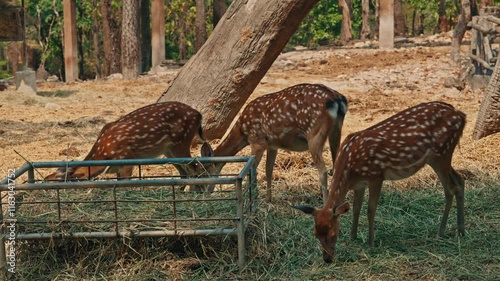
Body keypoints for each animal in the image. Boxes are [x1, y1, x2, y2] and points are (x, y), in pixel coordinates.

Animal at [44, 101, 213, 183]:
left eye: (58, 181)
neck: (104, 154)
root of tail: (199, 115)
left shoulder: (126, 160)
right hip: (169, 151)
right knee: (184, 173)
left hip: (181, 142)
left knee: (194, 168)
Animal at [203, 82, 348, 201]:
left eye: (201, 169)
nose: (201, 192)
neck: (242, 131)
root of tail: (338, 100)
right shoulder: (272, 145)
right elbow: (268, 171)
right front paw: (268, 199)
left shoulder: (257, 141)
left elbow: (254, 171)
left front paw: (255, 198)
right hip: (336, 130)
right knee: (336, 166)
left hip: (314, 132)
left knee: (323, 170)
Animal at [294, 101, 466, 262]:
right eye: (315, 233)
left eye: (332, 233)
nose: (327, 259)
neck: (349, 168)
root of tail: (461, 116)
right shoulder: (359, 184)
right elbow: (356, 208)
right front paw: (353, 237)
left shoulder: (376, 175)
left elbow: (370, 210)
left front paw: (371, 243)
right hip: (438, 157)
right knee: (460, 181)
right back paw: (461, 230)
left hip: (441, 153)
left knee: (450, 188)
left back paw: (441, 232)